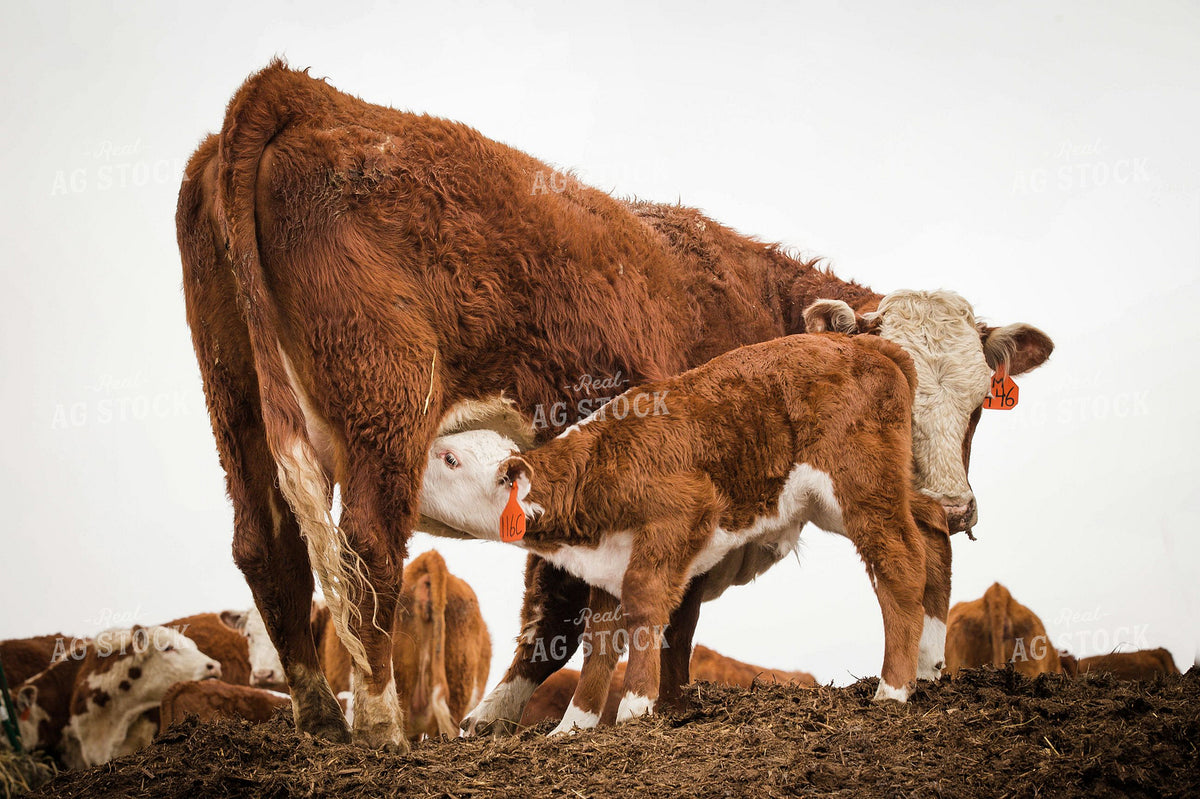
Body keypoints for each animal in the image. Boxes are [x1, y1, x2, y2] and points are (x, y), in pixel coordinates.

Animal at [418, 327, 959, 732]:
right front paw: (574, 726)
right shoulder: (606, 562)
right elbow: (599, 643)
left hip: (861, 487)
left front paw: (636, 707)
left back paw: (893, 690)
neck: (600, 466)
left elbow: (645, 608)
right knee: (933, 530)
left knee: (900, 565)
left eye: (449, 458)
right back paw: (928, 665)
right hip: (875, 490)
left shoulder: (681, 516)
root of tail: (868, 345)